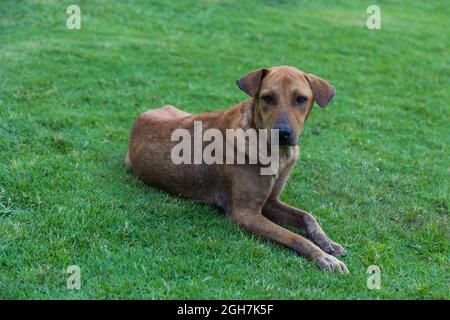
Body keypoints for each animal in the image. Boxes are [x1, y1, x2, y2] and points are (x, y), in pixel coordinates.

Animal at [125, 66, 350, 274]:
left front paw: (328, 243)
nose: (283, 133)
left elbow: (307, 216)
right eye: (267, 98)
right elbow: (292, 236)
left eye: (301, 99)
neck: (277, 153)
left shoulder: (271, 201)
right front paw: (323, 257)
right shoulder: (245, 213)